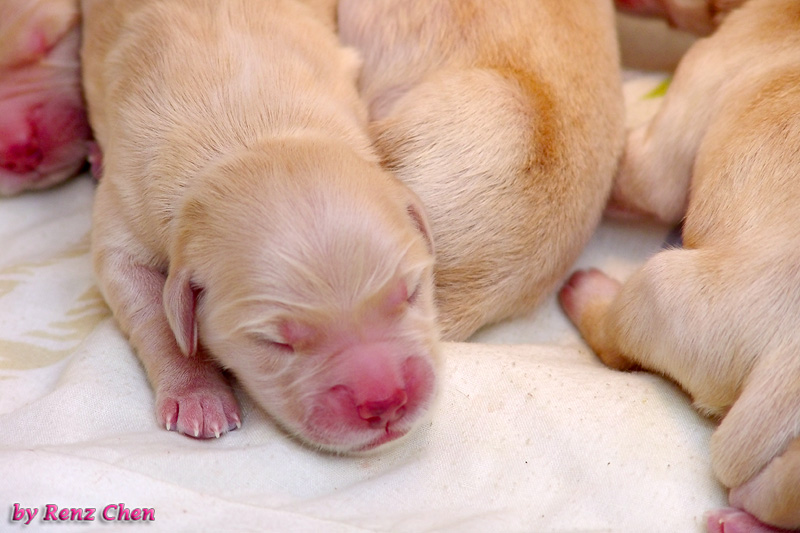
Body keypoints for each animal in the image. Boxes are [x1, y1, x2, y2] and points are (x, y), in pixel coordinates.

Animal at [81, 0, 440, 453]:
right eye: (276, 342)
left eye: (411, 294)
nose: (386, 400)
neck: (251, 136)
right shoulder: (126, 208)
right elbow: (155, 315)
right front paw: (198, 396)